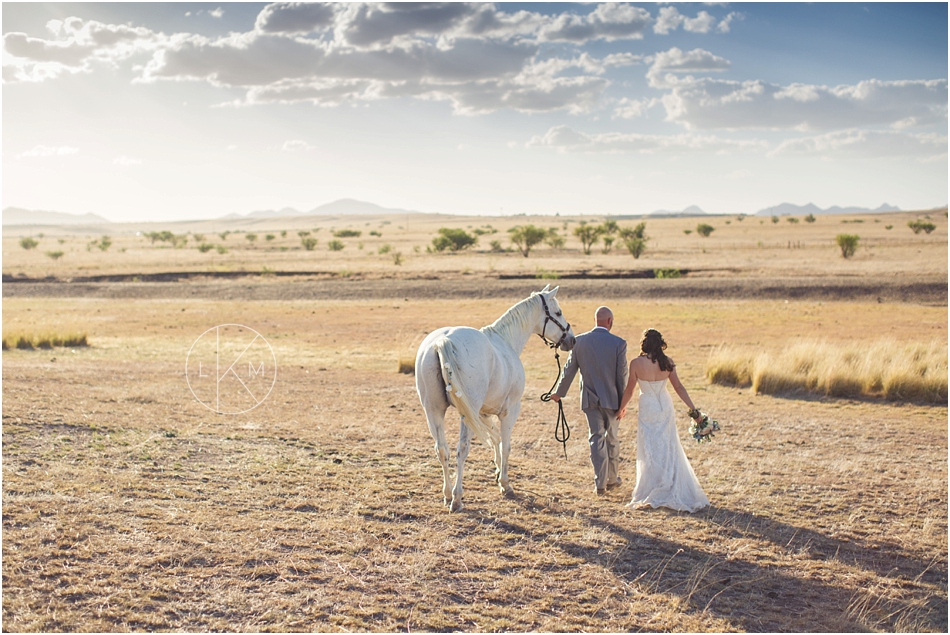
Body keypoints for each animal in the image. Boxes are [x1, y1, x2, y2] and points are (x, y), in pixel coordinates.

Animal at [414, 286, 576, 516]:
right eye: (558, 312)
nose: (571, 340)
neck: (505, 341)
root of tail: (441, 342)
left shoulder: (482, 413)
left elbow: (495, 439)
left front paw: (498, 472)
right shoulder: (509, 411)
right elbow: (505, 444)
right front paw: (505, 483)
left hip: (434, 411)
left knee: (442, 450)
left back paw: (446, 495)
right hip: (464, 415)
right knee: (461, 450)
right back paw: (457, 498)